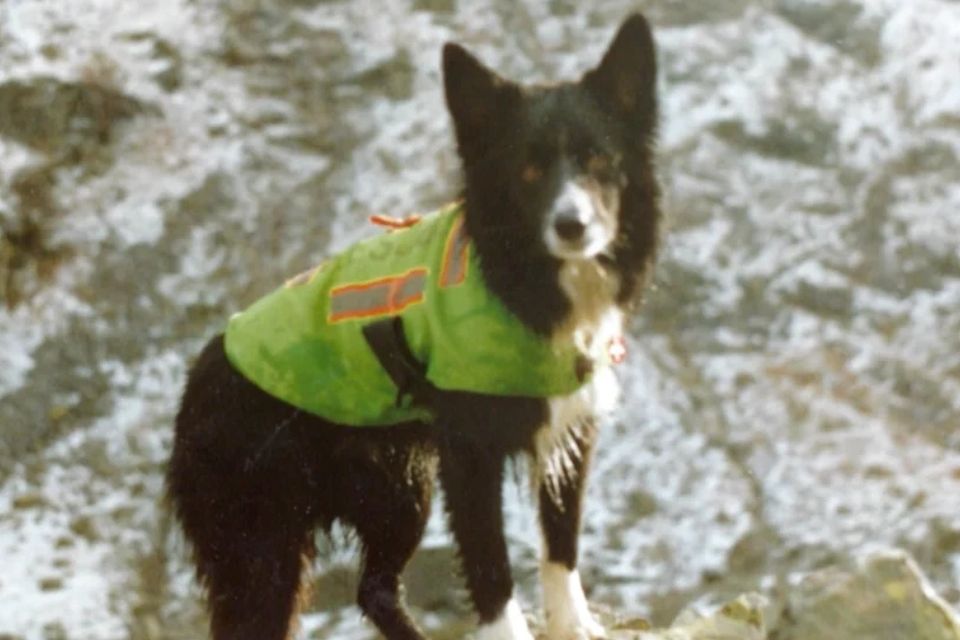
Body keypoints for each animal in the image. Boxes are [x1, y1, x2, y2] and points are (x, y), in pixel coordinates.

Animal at [167, 13, 660, 640]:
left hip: (396, 492)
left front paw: (575, 624)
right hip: (264, 543)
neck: (524, 284)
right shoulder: (469, 458)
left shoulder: (569, 431)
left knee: (374, 588)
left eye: (599, 160)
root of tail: (194, 386)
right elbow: (491, 568)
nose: (572, 225)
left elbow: (560, 545)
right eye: (528, 169)